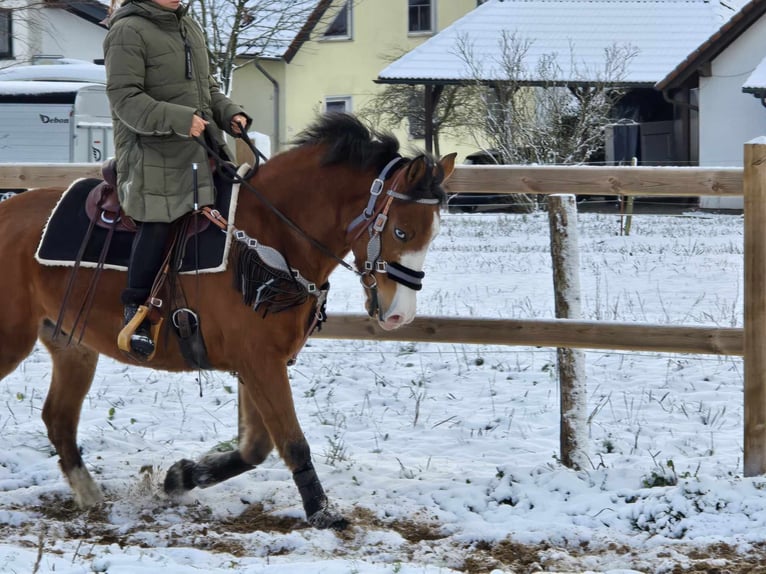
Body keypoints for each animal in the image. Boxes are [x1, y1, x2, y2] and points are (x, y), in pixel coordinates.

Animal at [0, 112, 456, 532]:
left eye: (432, 234)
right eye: (400, 232)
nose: (400, 314)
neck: (271, 239)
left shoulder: (259, 362)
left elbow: (256, 447)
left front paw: (180, 477)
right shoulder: (259, 361)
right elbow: (292, 442)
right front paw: (323, 512)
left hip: (71, 345)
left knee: (58, 419)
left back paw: (90, 495)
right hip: (12, 341)